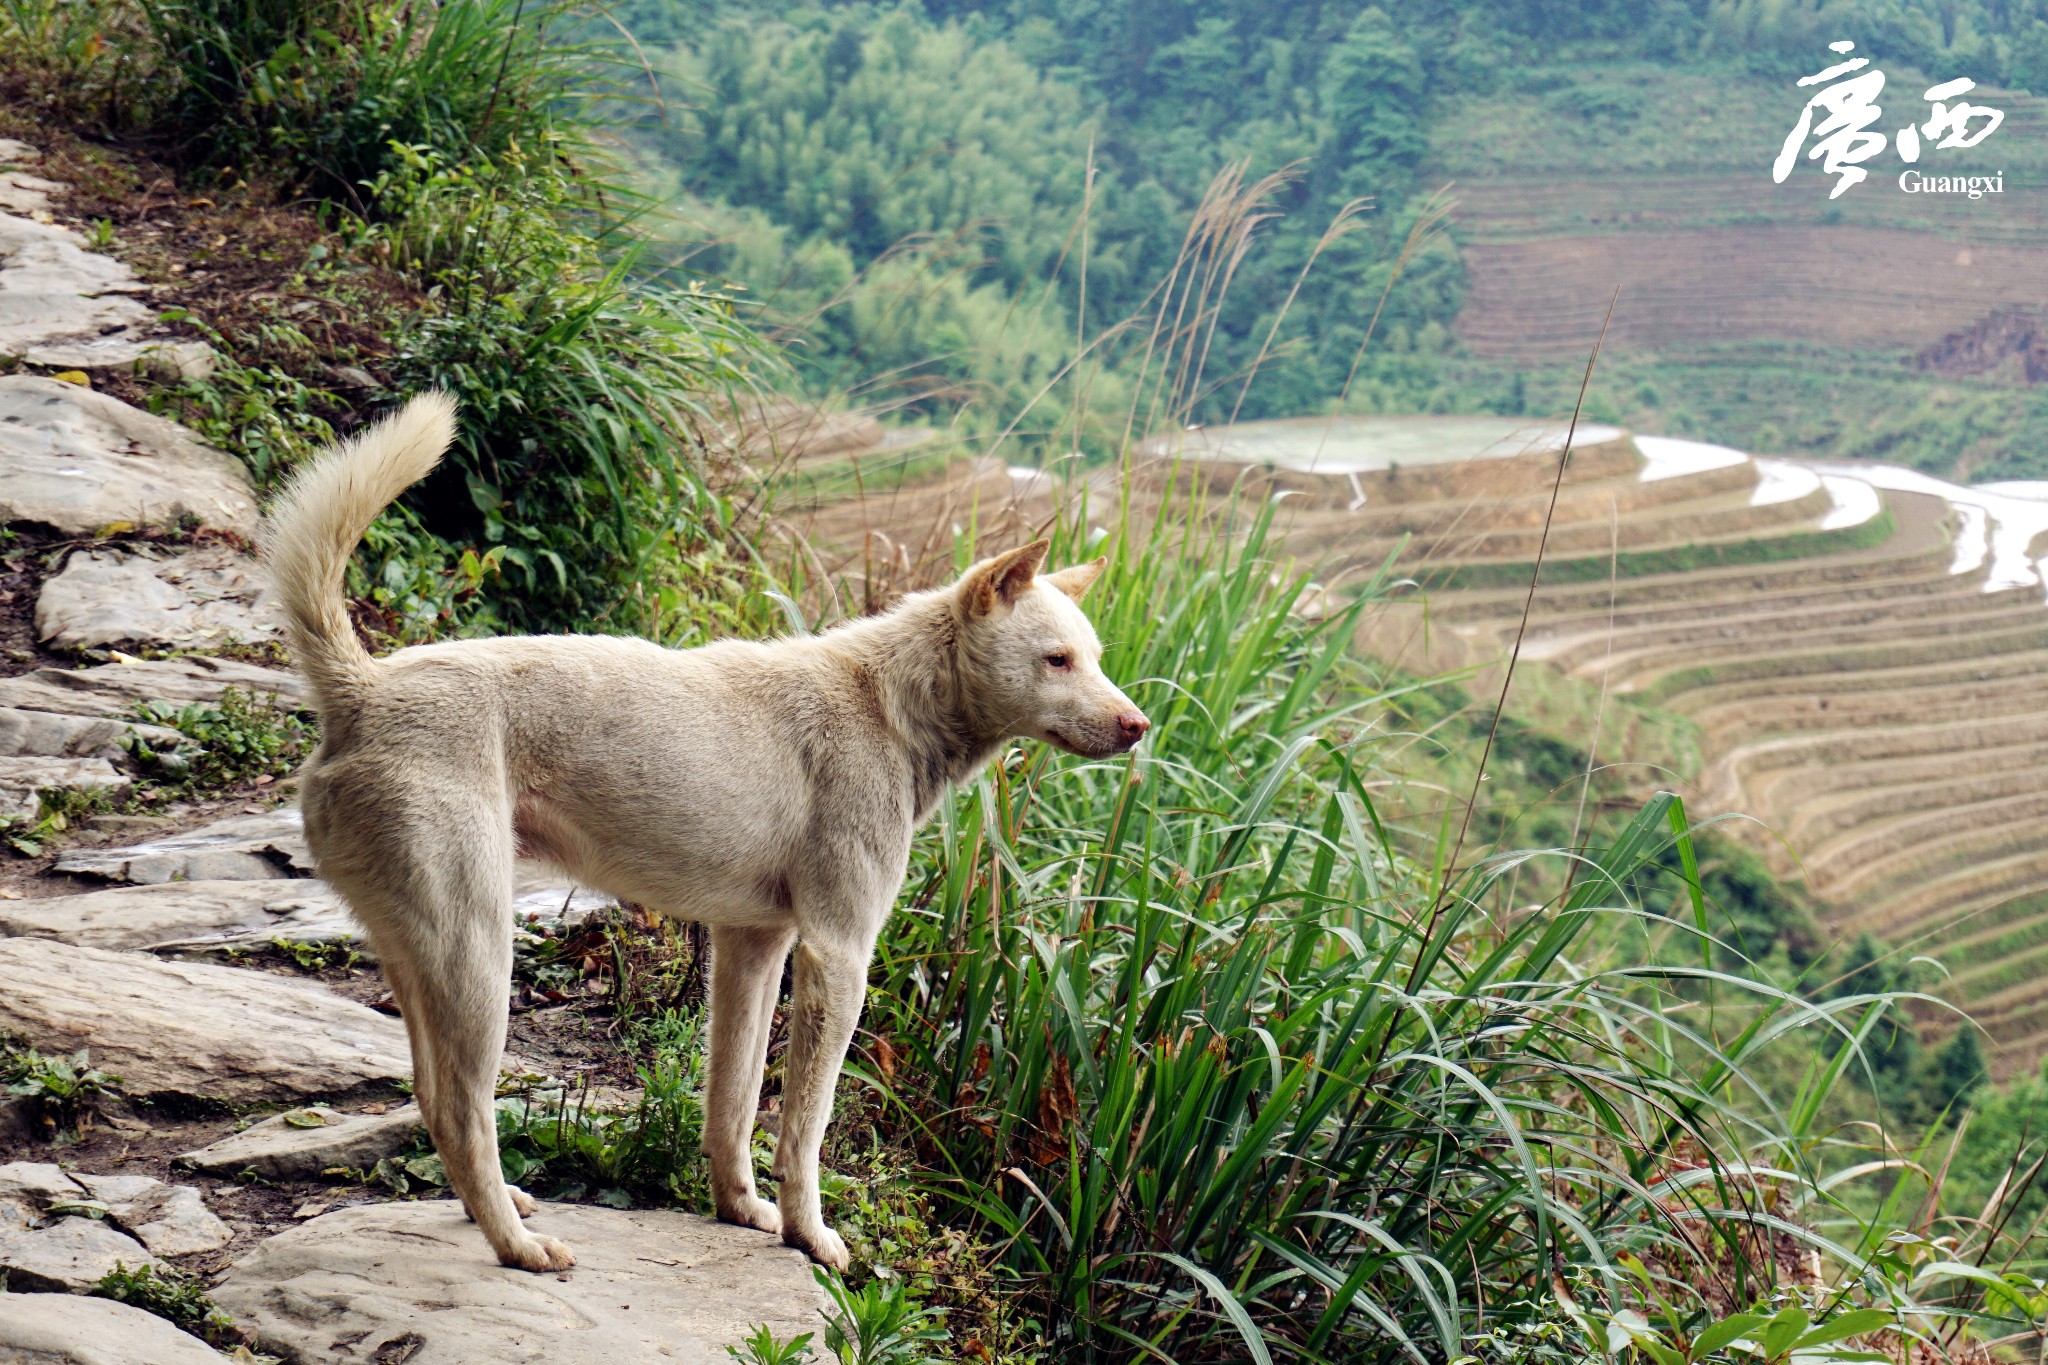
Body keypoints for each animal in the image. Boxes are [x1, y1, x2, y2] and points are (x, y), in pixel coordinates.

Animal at [262, 394, 1146, 1268]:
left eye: (1098, 656)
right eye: (1057, 659)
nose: (1138, 725)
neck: (889, 704)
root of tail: (361, 689)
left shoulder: (753, 947)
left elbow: (734, 1099)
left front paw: (742, 1209)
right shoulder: (837, 955)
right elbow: (805, 1125)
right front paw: (810, 1234)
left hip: (421, 957)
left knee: (429, 1093)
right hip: (478, 955)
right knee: (462, 1108)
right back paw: (517, 1243)